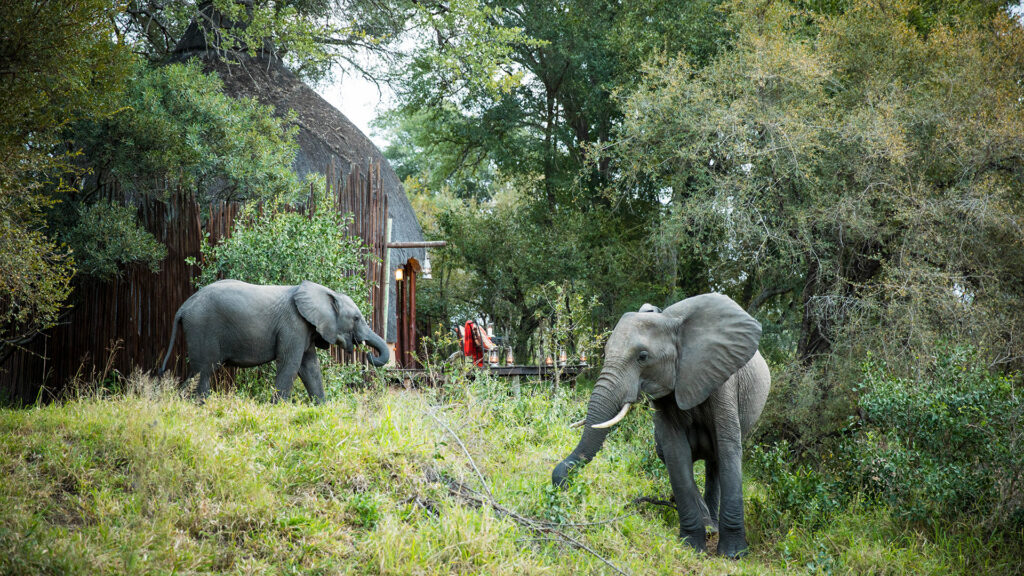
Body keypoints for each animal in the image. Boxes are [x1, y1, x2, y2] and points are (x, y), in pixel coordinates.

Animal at [159, 279, 389, 403]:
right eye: (356, 318)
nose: (369, 354)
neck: (326, 293)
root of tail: (183, 307)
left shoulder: (305, 329)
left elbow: (310, 367)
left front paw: (322, 408)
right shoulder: (293, 325)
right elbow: (290, 364)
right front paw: (278, 408)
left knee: (198, 372)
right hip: (202, 328)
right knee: (204, 371)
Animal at [552, 293, 770, 558]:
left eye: (643, 357)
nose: (560, 482)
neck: (669, 321)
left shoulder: (722, 377)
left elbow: (729, 448)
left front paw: (734, 554)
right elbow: (675, 452)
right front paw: (690, 546)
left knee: (717, 459)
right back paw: (709, 526)